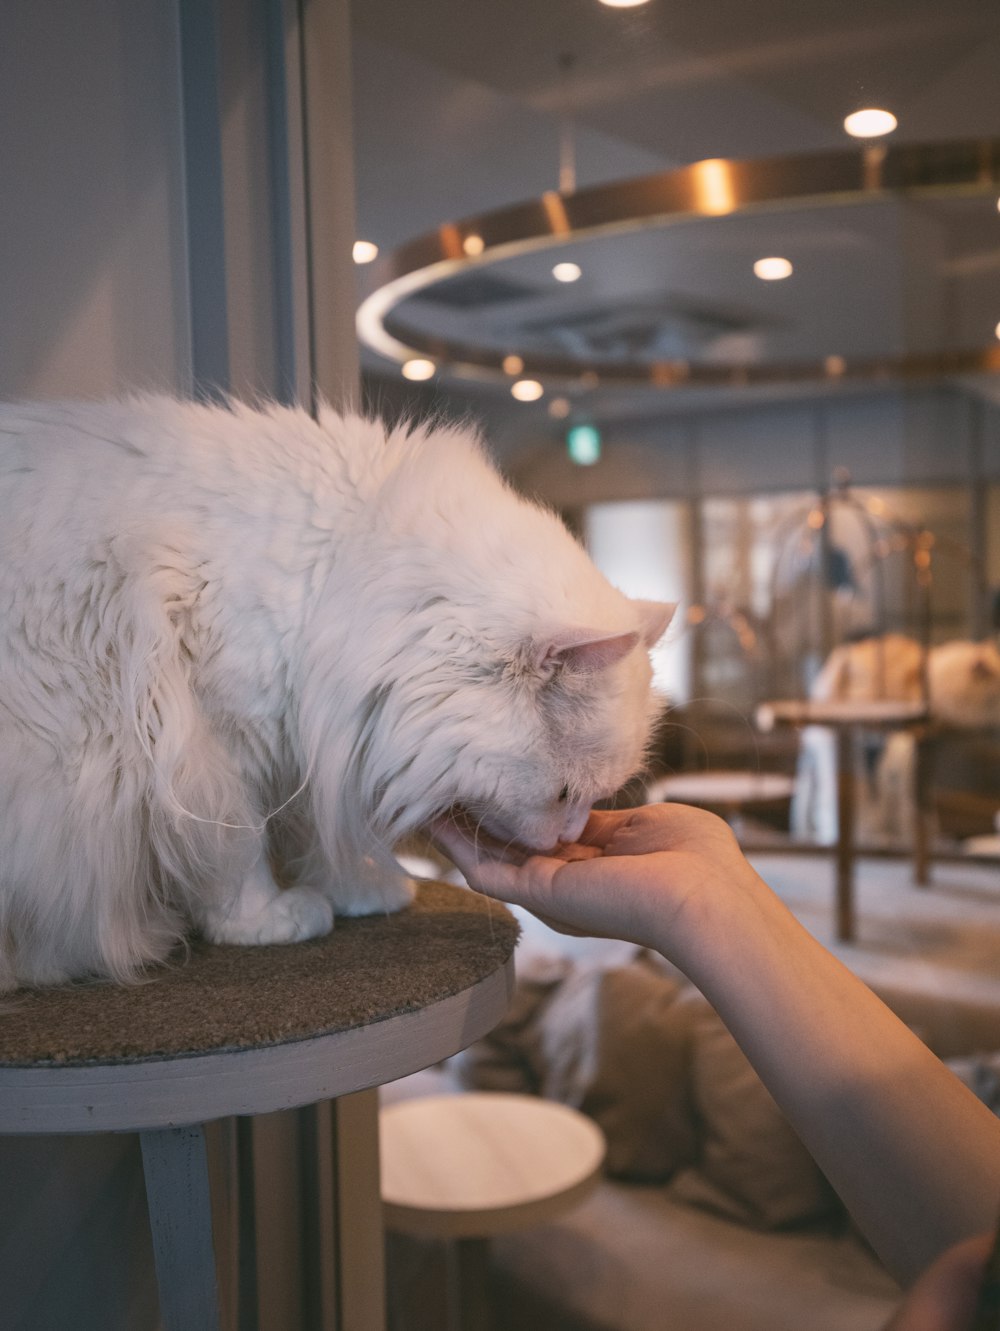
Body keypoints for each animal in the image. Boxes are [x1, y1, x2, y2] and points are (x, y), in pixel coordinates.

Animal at [1, 393, 673, 990]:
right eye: (564, 795)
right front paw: (265, 920)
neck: (335, 581)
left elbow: (315, 830)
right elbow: (238, 847)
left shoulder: (311, 741)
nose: (566, 839)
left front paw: (362, 892)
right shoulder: (215, 746)